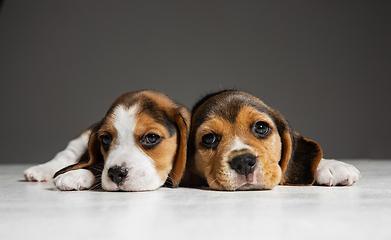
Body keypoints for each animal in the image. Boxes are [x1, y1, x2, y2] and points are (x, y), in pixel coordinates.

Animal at [23, 90, 191, 191]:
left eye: (152, 138)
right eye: (105, 139)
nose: (116, 173)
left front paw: (75, 174)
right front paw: (76, 173)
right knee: (67, 154)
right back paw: (40, 170)